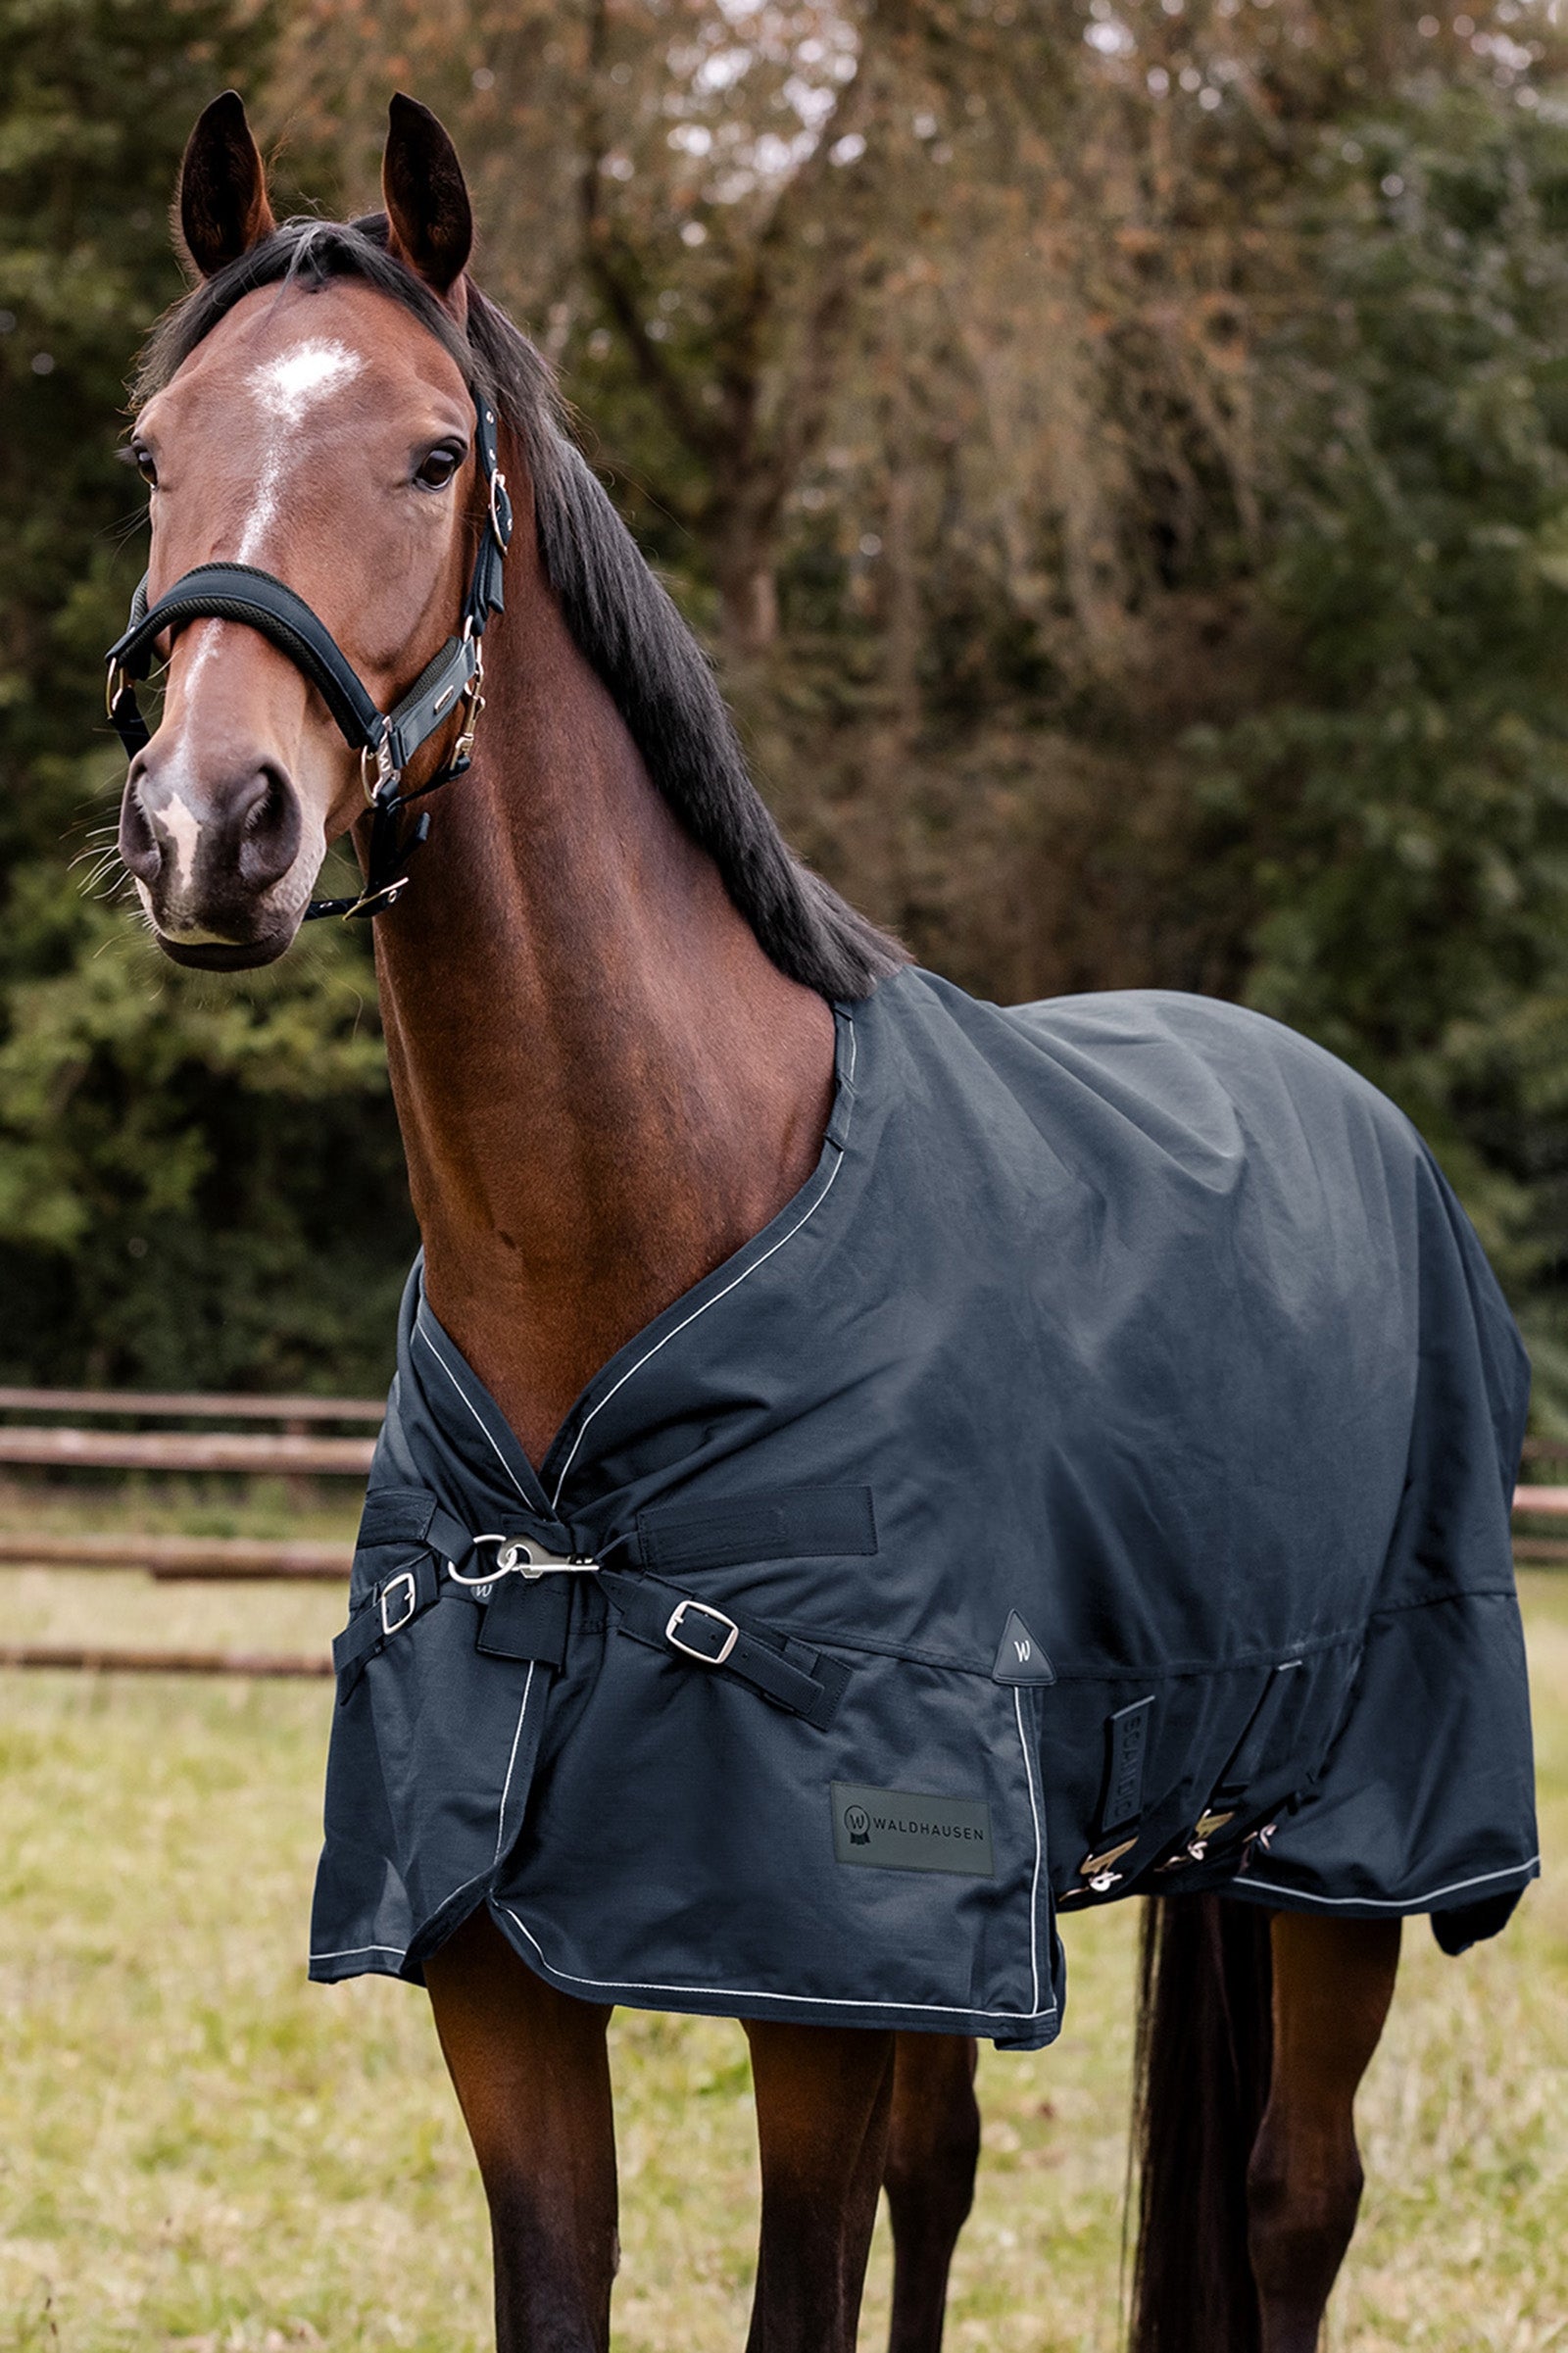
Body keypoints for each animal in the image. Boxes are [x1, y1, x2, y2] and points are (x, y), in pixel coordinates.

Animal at [99, 90, 1535, 2353]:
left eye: (430, 454)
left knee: (1296, 2197)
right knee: (955, 2180)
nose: (209, 827)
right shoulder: (513, 1968)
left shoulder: (817, 1976)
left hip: (1345, 1842)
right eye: (156, 453)